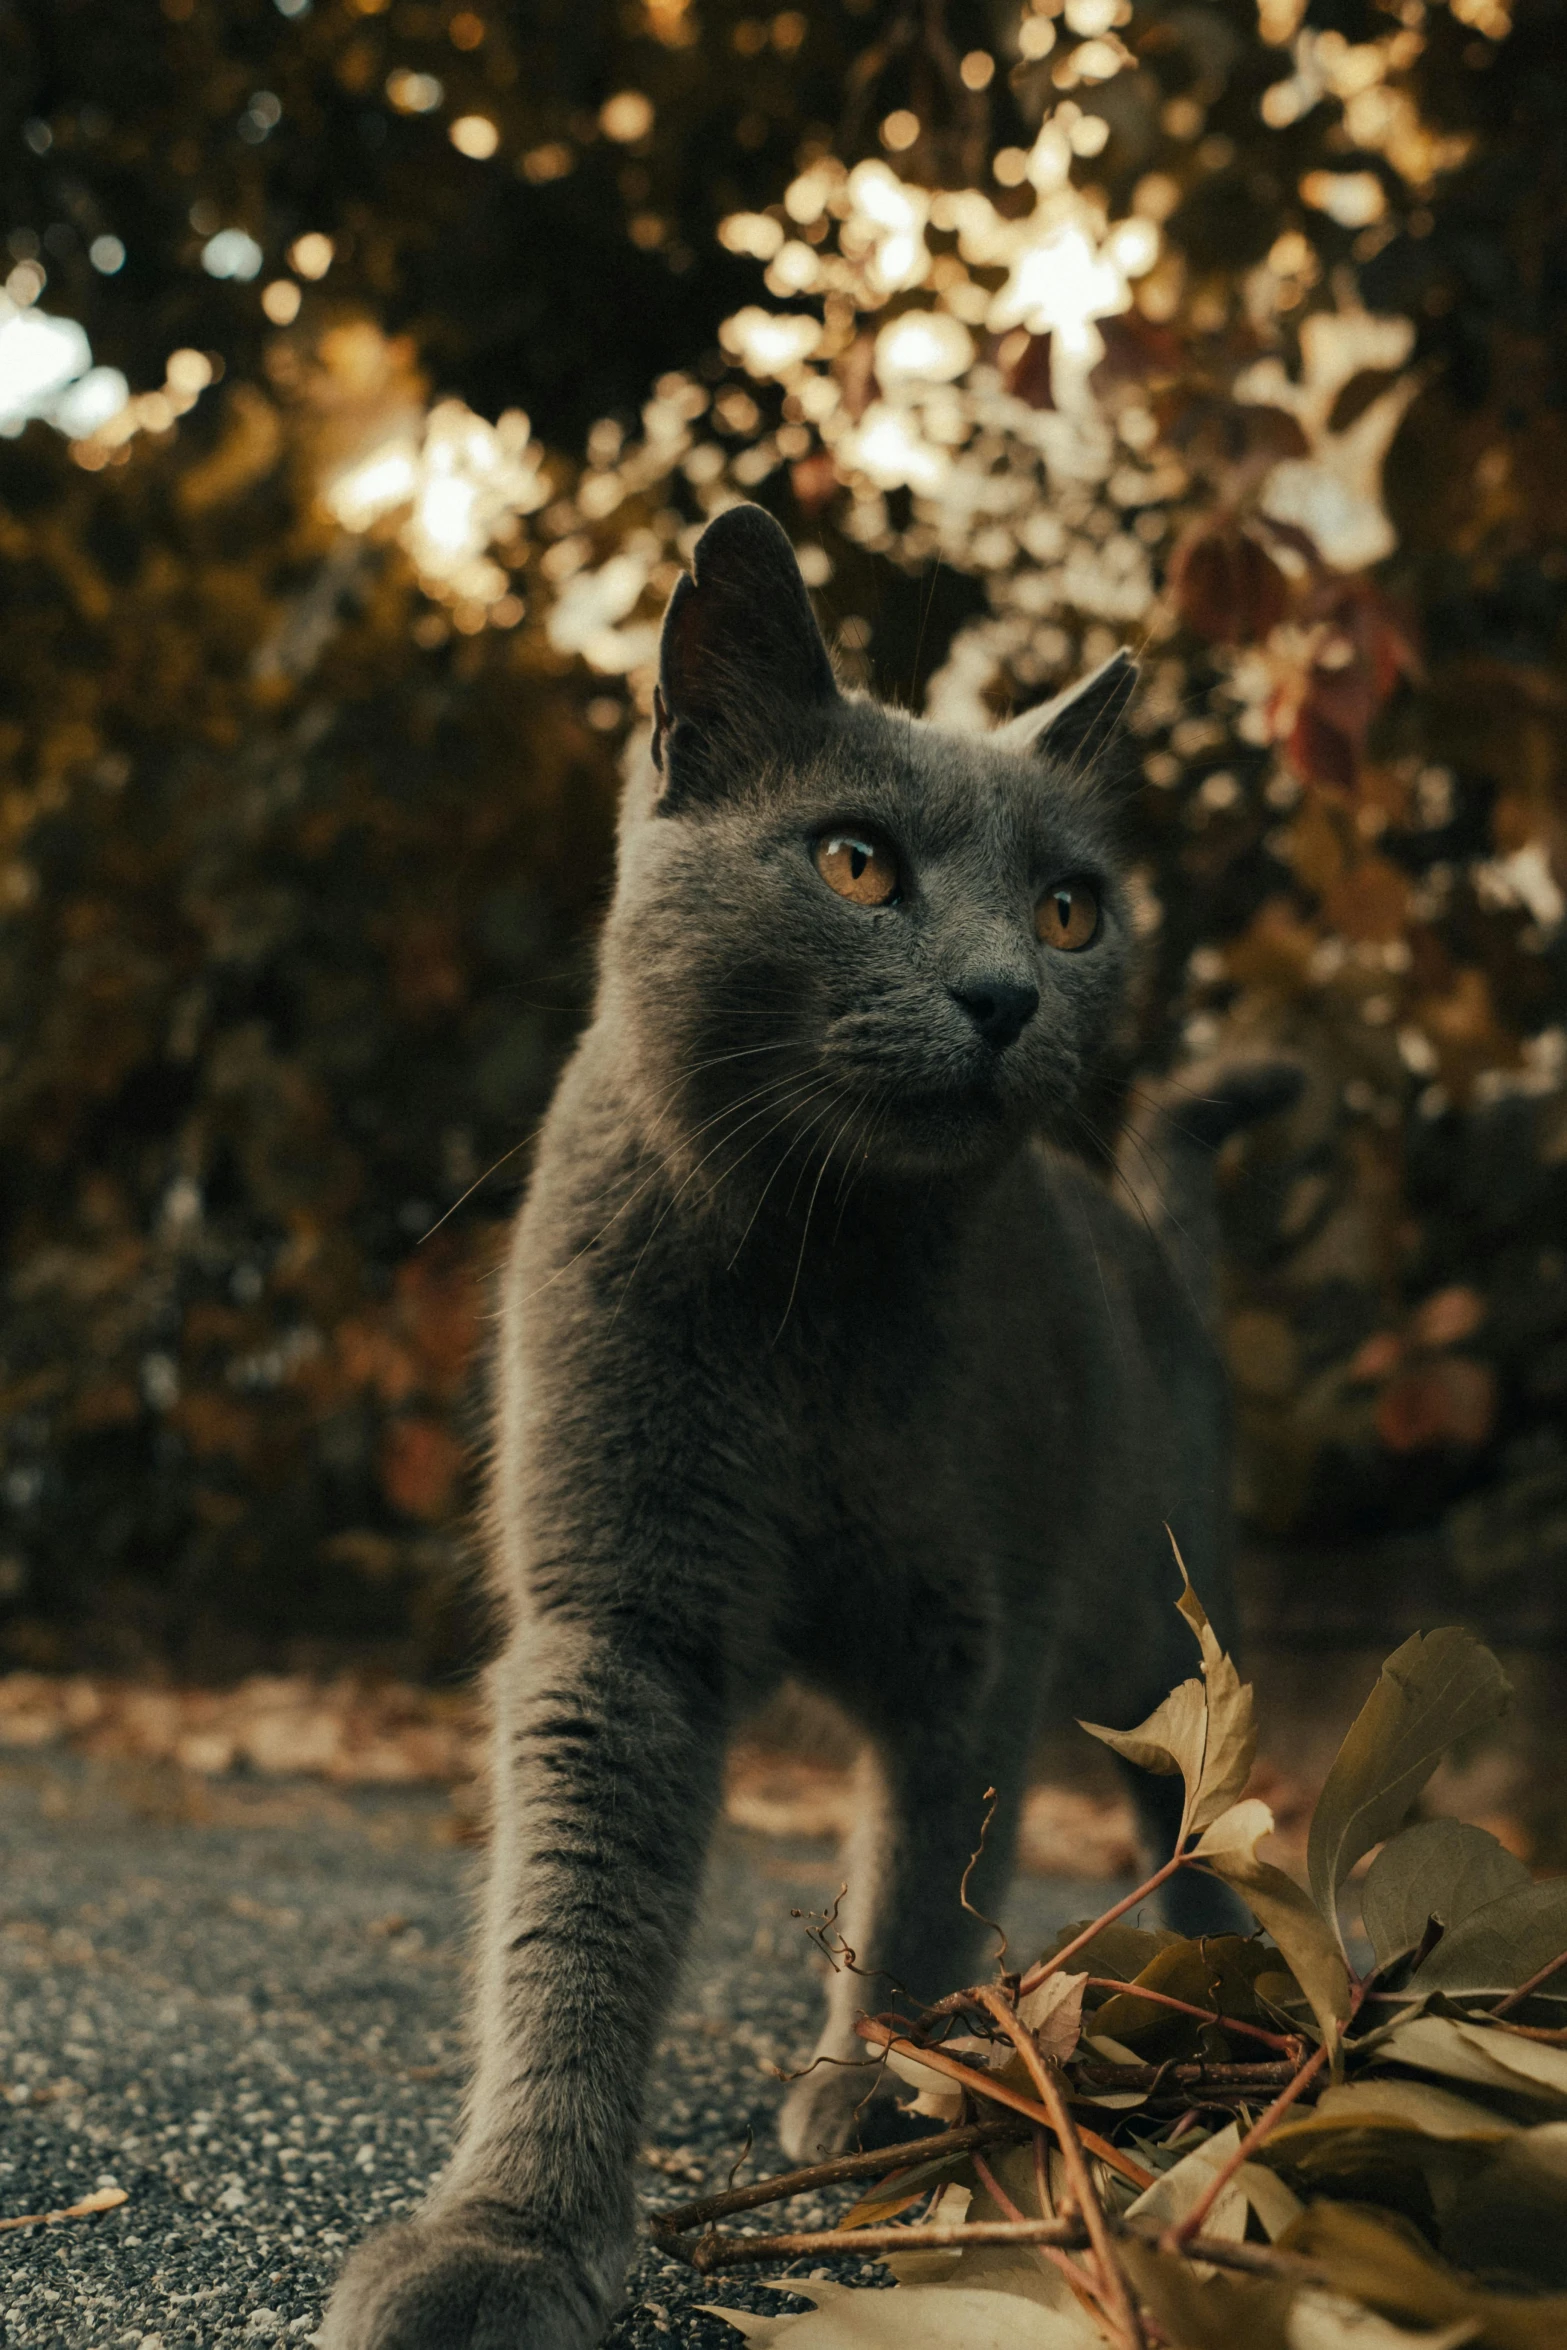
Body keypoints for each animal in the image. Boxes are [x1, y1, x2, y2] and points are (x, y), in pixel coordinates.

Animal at [321, 509, 1296, 2350]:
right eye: (853, 866)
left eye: (1067, 908)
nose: (1001, 991)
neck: (815, 1288)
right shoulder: (618, 1605)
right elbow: (572, 1917)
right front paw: (508, 2233)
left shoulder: (978, 1625)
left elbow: (925, 1871)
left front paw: (888, 2087)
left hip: (1158, 1609)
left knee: (1191, 1803)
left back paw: (1228, 1979)